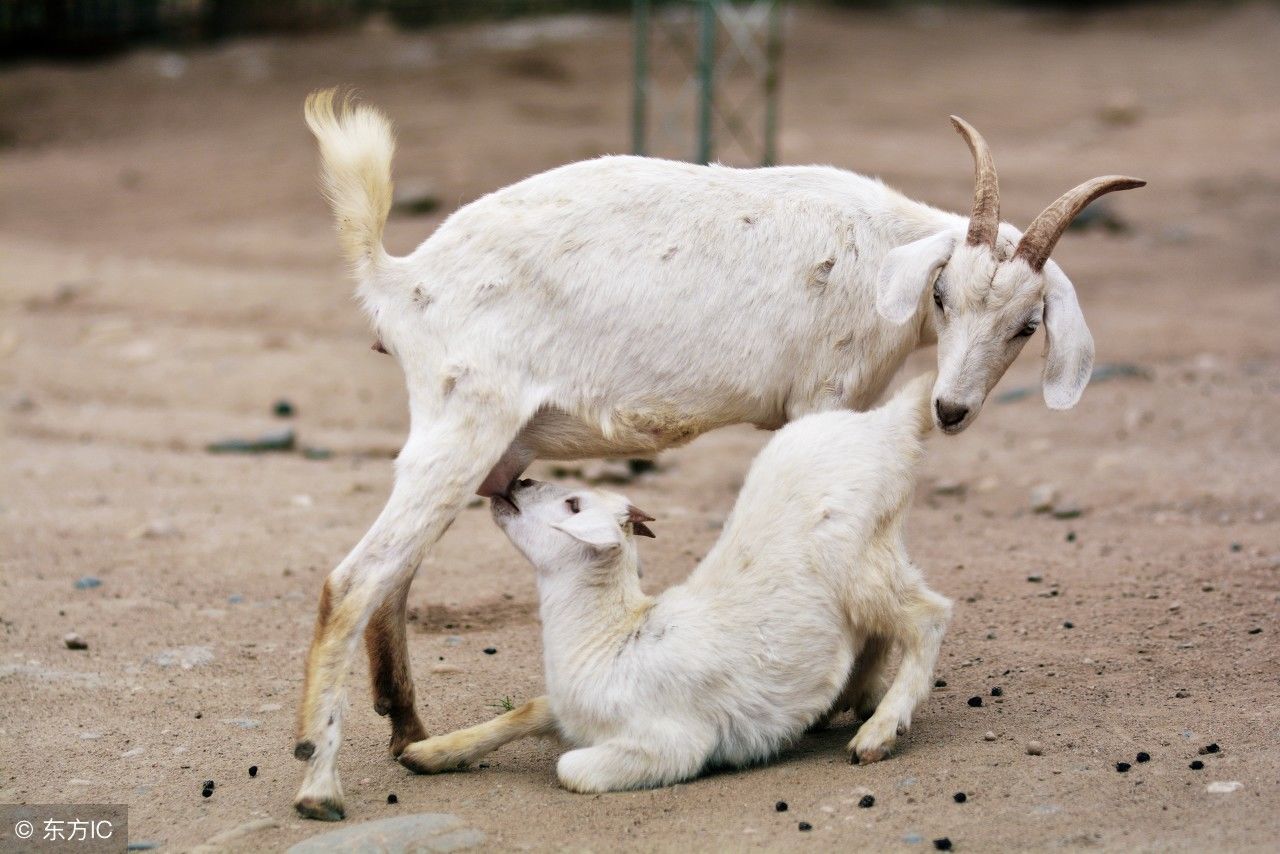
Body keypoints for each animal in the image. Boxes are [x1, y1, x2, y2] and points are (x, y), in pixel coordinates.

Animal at [294, 88, 1146, 819]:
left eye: (1027, 326)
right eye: (943, 295)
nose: (953, 409)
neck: (882, 252)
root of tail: (400, 277)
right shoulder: (825, 396)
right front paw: (858, 693)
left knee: (395, 576)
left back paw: (411, 734)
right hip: (465, 421)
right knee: (353, 580)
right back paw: (318, 783)